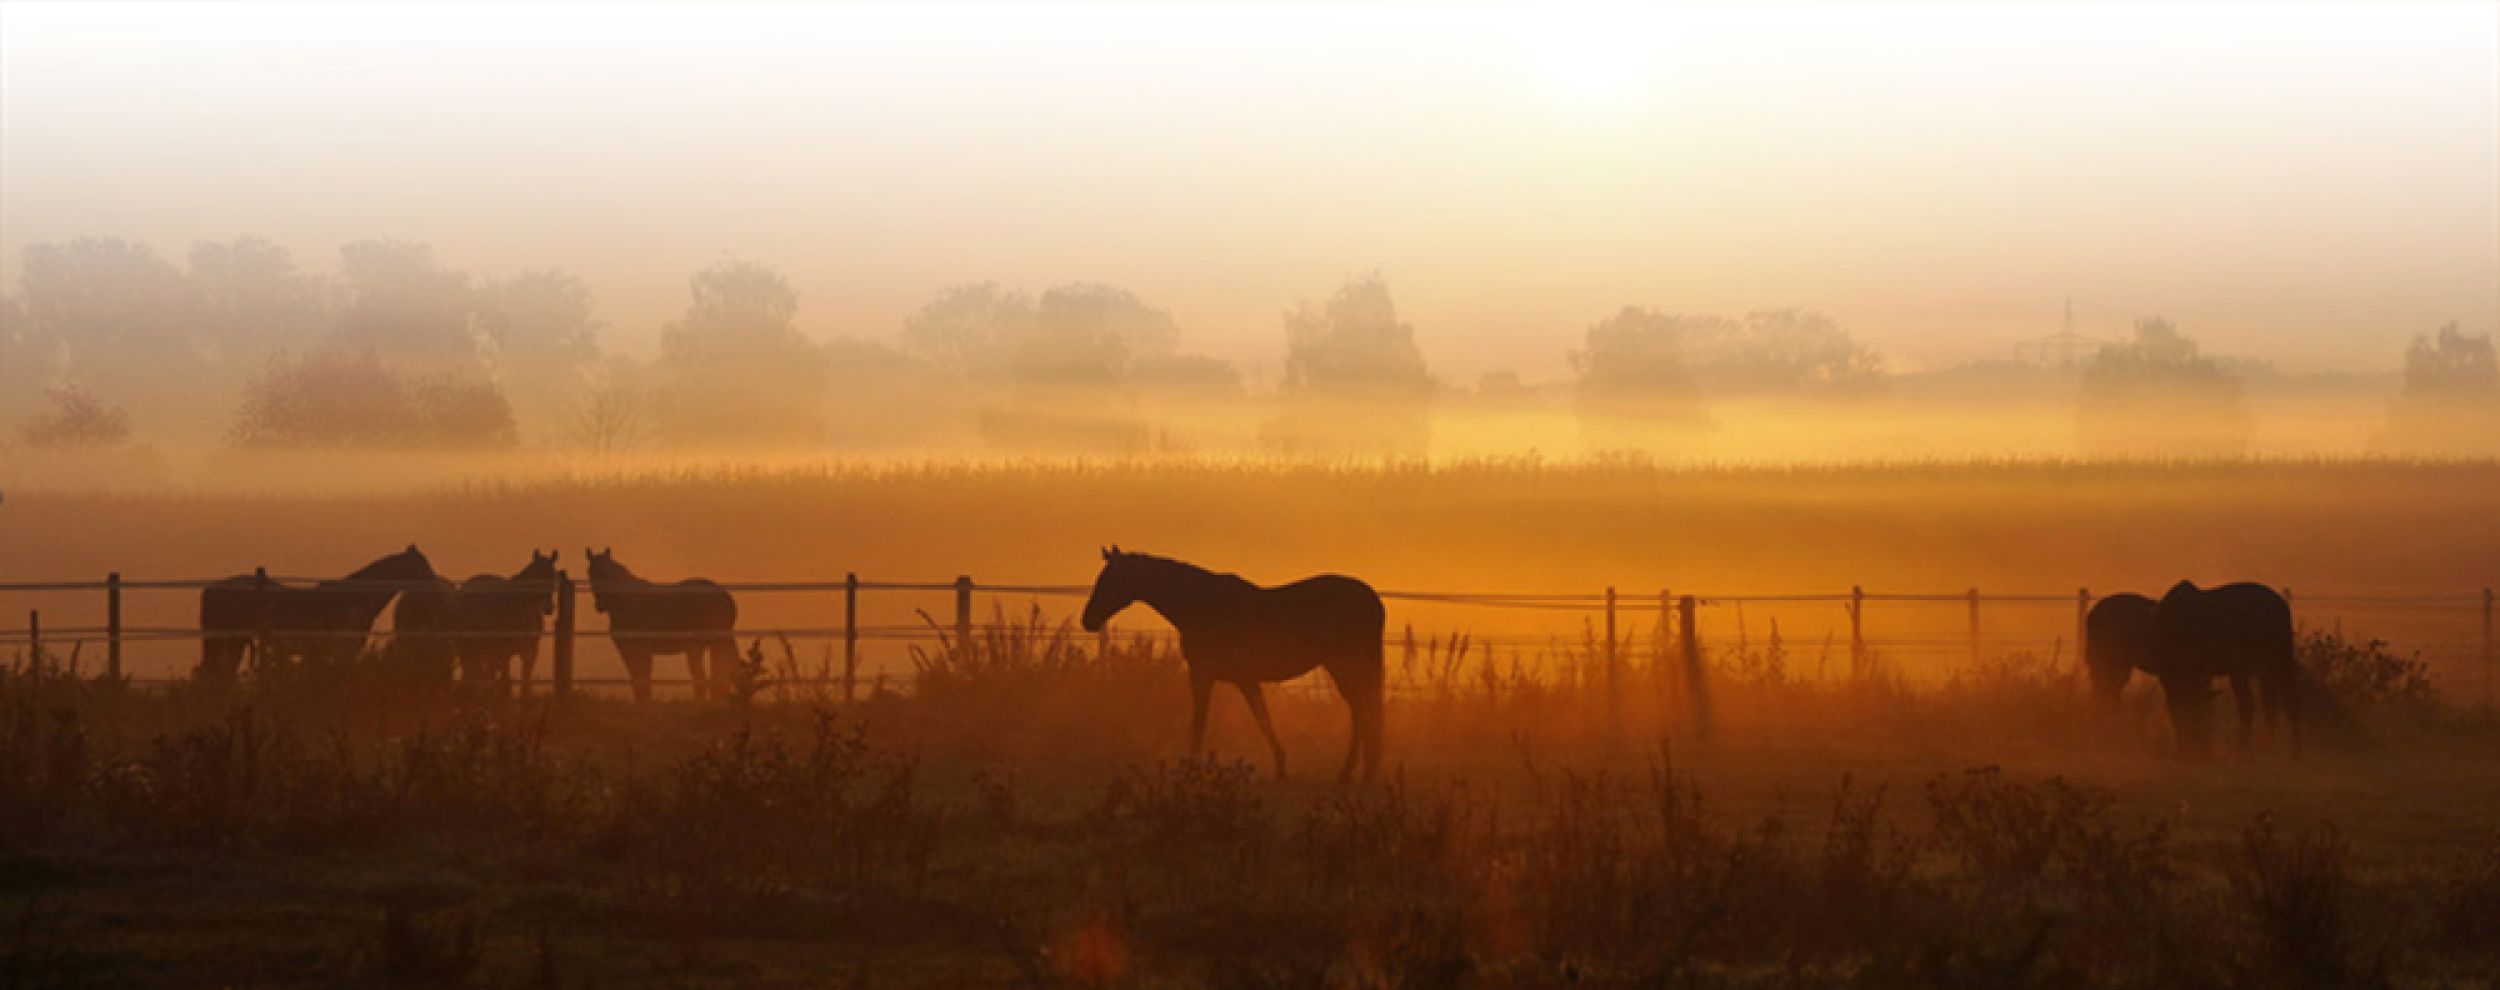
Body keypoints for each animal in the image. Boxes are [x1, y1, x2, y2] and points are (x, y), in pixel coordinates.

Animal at [199, 545, 438, 680]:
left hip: (234, 642)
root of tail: (211, 589)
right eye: (423, 565)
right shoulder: (345, 651)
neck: (353, 599)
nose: (437, 584)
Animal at [452, 549, 561, 691]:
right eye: (535, 576)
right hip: (472, 648)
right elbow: (504, 680)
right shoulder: (504, 652)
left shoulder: (530, 652)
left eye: (553, 576)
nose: (549, 608)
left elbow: (526, 681)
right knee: (473, 673)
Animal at [583, 547, 737, 702]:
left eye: (607, 572)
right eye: (590, 572)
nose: (600, 606)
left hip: (705, 646)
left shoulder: (642, 651)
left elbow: (644, 680)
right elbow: (637, 681)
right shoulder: (627, 651)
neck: (628, 602)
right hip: (704, 646)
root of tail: (725, 596)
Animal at [1080, 547, 1385, 783]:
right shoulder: (1245, 680)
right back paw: (1354, 772)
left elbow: (1200, 722)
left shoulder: (1203, 676)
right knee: (1360, 710)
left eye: (1109, 579)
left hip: (1345, 666)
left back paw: (1354, 772)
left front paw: (1193, 770)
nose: (1088, 620)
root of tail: (1372, 599)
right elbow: (1262, 719)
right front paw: (1281, 767)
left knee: (1362, 709)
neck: (1202, 606)